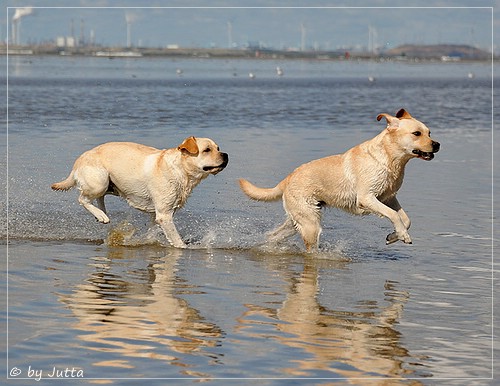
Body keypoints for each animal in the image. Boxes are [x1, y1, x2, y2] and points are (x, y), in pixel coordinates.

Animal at [51, 137, 229, 249]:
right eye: (207, 150)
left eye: (218, 148)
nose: (226, 155)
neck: (181, 171)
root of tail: (79, 159)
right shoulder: (164, 214)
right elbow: (176, 239)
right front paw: (183, 247)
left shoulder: (160, 213)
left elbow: (152, 232)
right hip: (99, 182)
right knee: (82, 198)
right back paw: (101, 215)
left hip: (110, 185)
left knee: (98, 198)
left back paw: (101, 214)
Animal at [240, 109, 440, 253]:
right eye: (416, 133)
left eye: (429, 132)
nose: (437, 144)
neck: (390, 160)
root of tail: (288, 177)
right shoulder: (367, 198)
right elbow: (393, 215)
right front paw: (403, 235)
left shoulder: (389, 197)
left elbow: (406, 219)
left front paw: (394, 235)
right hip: (310, 224)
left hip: (298, 220)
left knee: (273, 235)